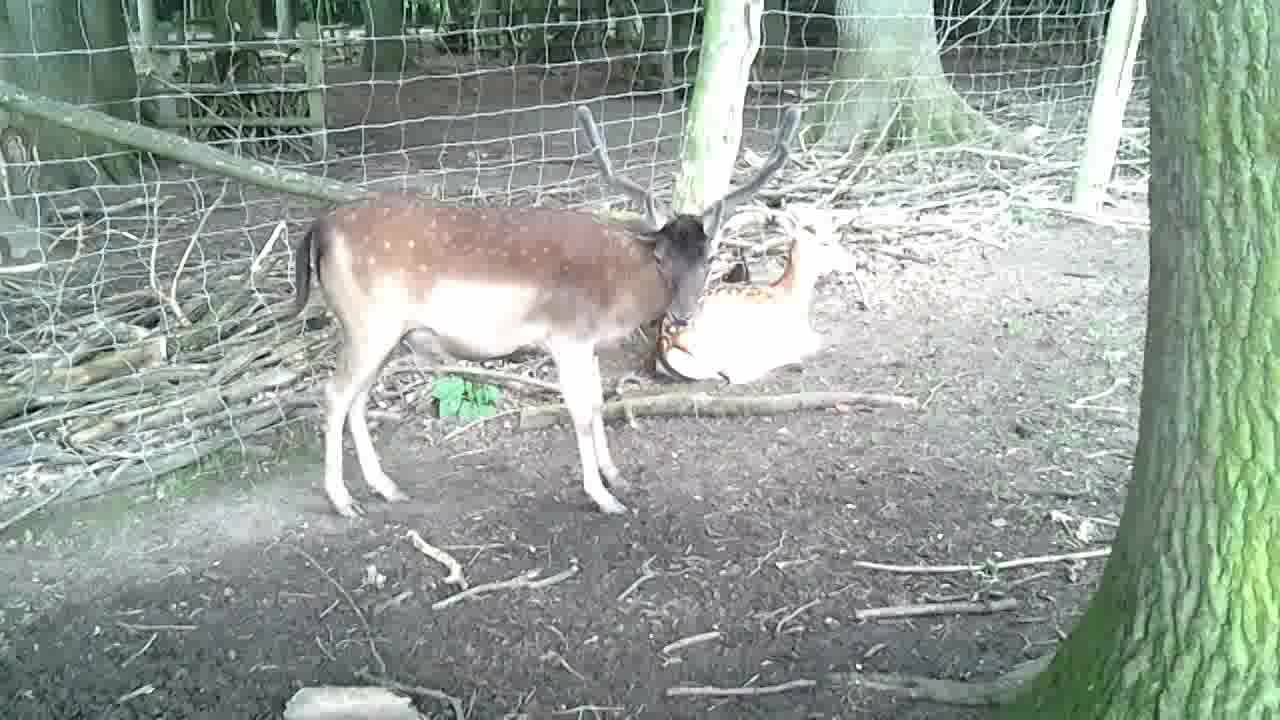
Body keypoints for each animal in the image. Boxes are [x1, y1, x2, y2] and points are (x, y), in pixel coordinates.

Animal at [288, 103, 798, 515]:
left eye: (709, 257)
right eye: (660, 258)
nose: (683, 314)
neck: (615, 293)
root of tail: (319, 226)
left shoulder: (587, 343)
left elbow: (598, 402)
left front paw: (617, 476)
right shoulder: (566, 336)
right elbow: (579, 411)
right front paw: (602, 496)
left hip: (387, 333)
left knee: (357, 398)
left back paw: (385, 487)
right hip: (367, 323)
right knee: (334, 394)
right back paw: (342, 500)